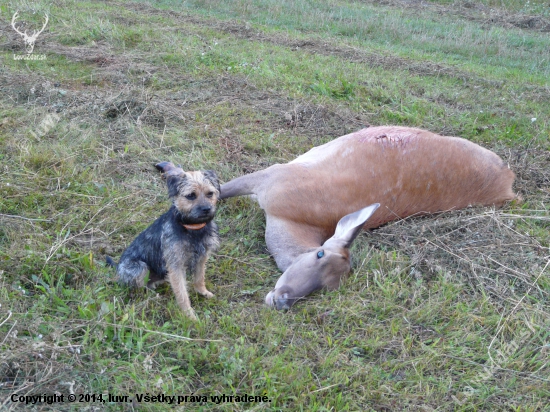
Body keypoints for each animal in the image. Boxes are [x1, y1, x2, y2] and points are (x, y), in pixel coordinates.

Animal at [106, 160, 221, 318]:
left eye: (210, 193)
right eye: (191, 196)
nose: (206, 209)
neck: (192, 228)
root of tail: (117, 268)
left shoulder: (201, 258)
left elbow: (199, 278)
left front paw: (203, 293)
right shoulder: (176, 266)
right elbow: (182, 294)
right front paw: (189, 315)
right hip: (139, 267)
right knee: (139, 289)